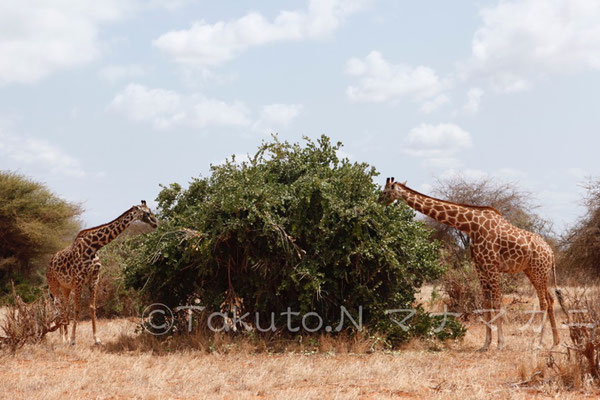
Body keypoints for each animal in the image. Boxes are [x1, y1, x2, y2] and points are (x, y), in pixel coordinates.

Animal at [45, 202, 158, 346]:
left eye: (150, 211)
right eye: (147, 213)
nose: (155, 223)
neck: (93, 246)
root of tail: (49, 262)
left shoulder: (94, 279)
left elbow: (92, 307)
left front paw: (97, 339)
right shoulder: (79, 279)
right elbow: (77, 308)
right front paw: (73, 339)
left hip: (66, 287)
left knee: (64, 308)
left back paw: (65, 338)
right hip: (54, 285)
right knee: (58, 307)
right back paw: (63, 339)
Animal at [378, 178, 560, 350]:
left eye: (385, 192)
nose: (378, 201)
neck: (470, 225)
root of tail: (551, 253)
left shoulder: (491, 265)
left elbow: (497, 302)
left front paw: (501, 343)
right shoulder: (479, 266)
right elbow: (486, 303)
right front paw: (486, 344)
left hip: (538, 271)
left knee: (543, 302)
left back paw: (539, 343)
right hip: (534, 272)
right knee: (550, 299)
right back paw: (555, 342)